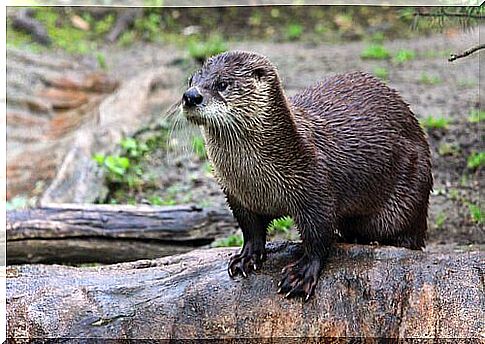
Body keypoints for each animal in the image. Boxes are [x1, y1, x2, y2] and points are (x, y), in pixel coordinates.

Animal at [181, 49, 432, 300]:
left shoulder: (316, 190)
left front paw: (301, 275)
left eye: (223, 84)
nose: (191, 96)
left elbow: (318, 237)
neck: (256, 182)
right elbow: (251, 229)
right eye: (191, 81)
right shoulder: (236, 197)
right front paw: (246, 257)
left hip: (411, 196)